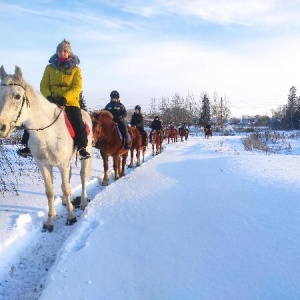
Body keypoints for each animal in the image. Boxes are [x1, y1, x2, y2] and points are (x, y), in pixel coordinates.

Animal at [0, 64, 92, 231]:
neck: (48, 133)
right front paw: (50, 221)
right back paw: (65, 201)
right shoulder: (44, 165)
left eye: (17, 96)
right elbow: (50, 191)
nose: (1, 127)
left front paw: (71, 217)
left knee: (82, 178)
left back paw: (82, 202)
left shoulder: (62, 164)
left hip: (84, 157)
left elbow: (66, 188)